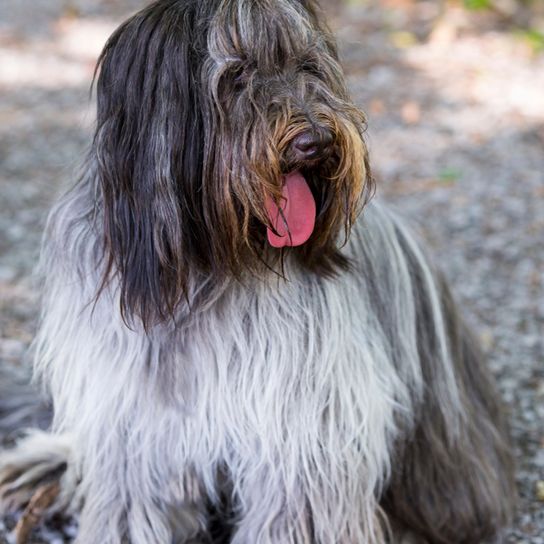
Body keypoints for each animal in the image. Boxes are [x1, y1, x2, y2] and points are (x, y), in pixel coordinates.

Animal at [0, 1, 516, 544]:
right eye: (237, 74)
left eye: (308, 66)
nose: (316, 141)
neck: (212, 264)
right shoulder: (135, 415)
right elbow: (131, 497)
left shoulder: (305, 428)